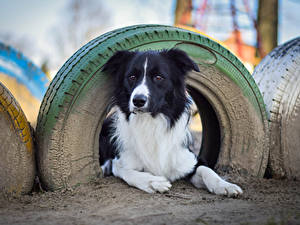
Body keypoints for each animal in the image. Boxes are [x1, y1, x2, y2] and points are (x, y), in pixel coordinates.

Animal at [99, 48, 243, 196]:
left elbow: (206, 170)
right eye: (132, 77)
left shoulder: (190, 160)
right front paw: (154, 182)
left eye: (158, 77)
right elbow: (127, 172)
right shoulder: (120, 162)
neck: (150, 122)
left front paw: (225, 185)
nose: (138, 100)